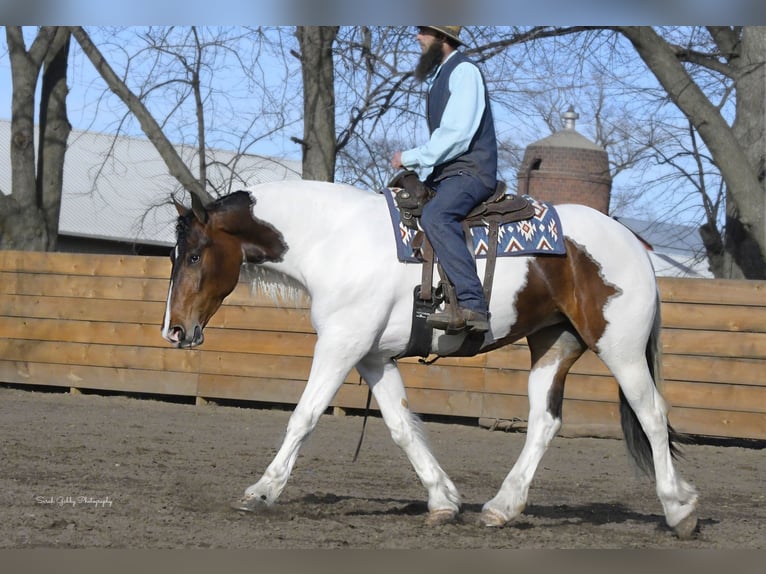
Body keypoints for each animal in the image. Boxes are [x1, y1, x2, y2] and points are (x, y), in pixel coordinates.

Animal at [162, 181, 704, 540]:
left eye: (194, 256)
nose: (174, 330)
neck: (333, 241)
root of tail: (635, 244)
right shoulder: (373, 357)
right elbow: (403, 428)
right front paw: (443, 499)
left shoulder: (341, 344)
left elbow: (304, 416)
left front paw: (262, 491)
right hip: (554, 344)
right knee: (544, 423)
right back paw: (503, 507)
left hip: (621, 348)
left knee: (652, 415)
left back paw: (679, 510)